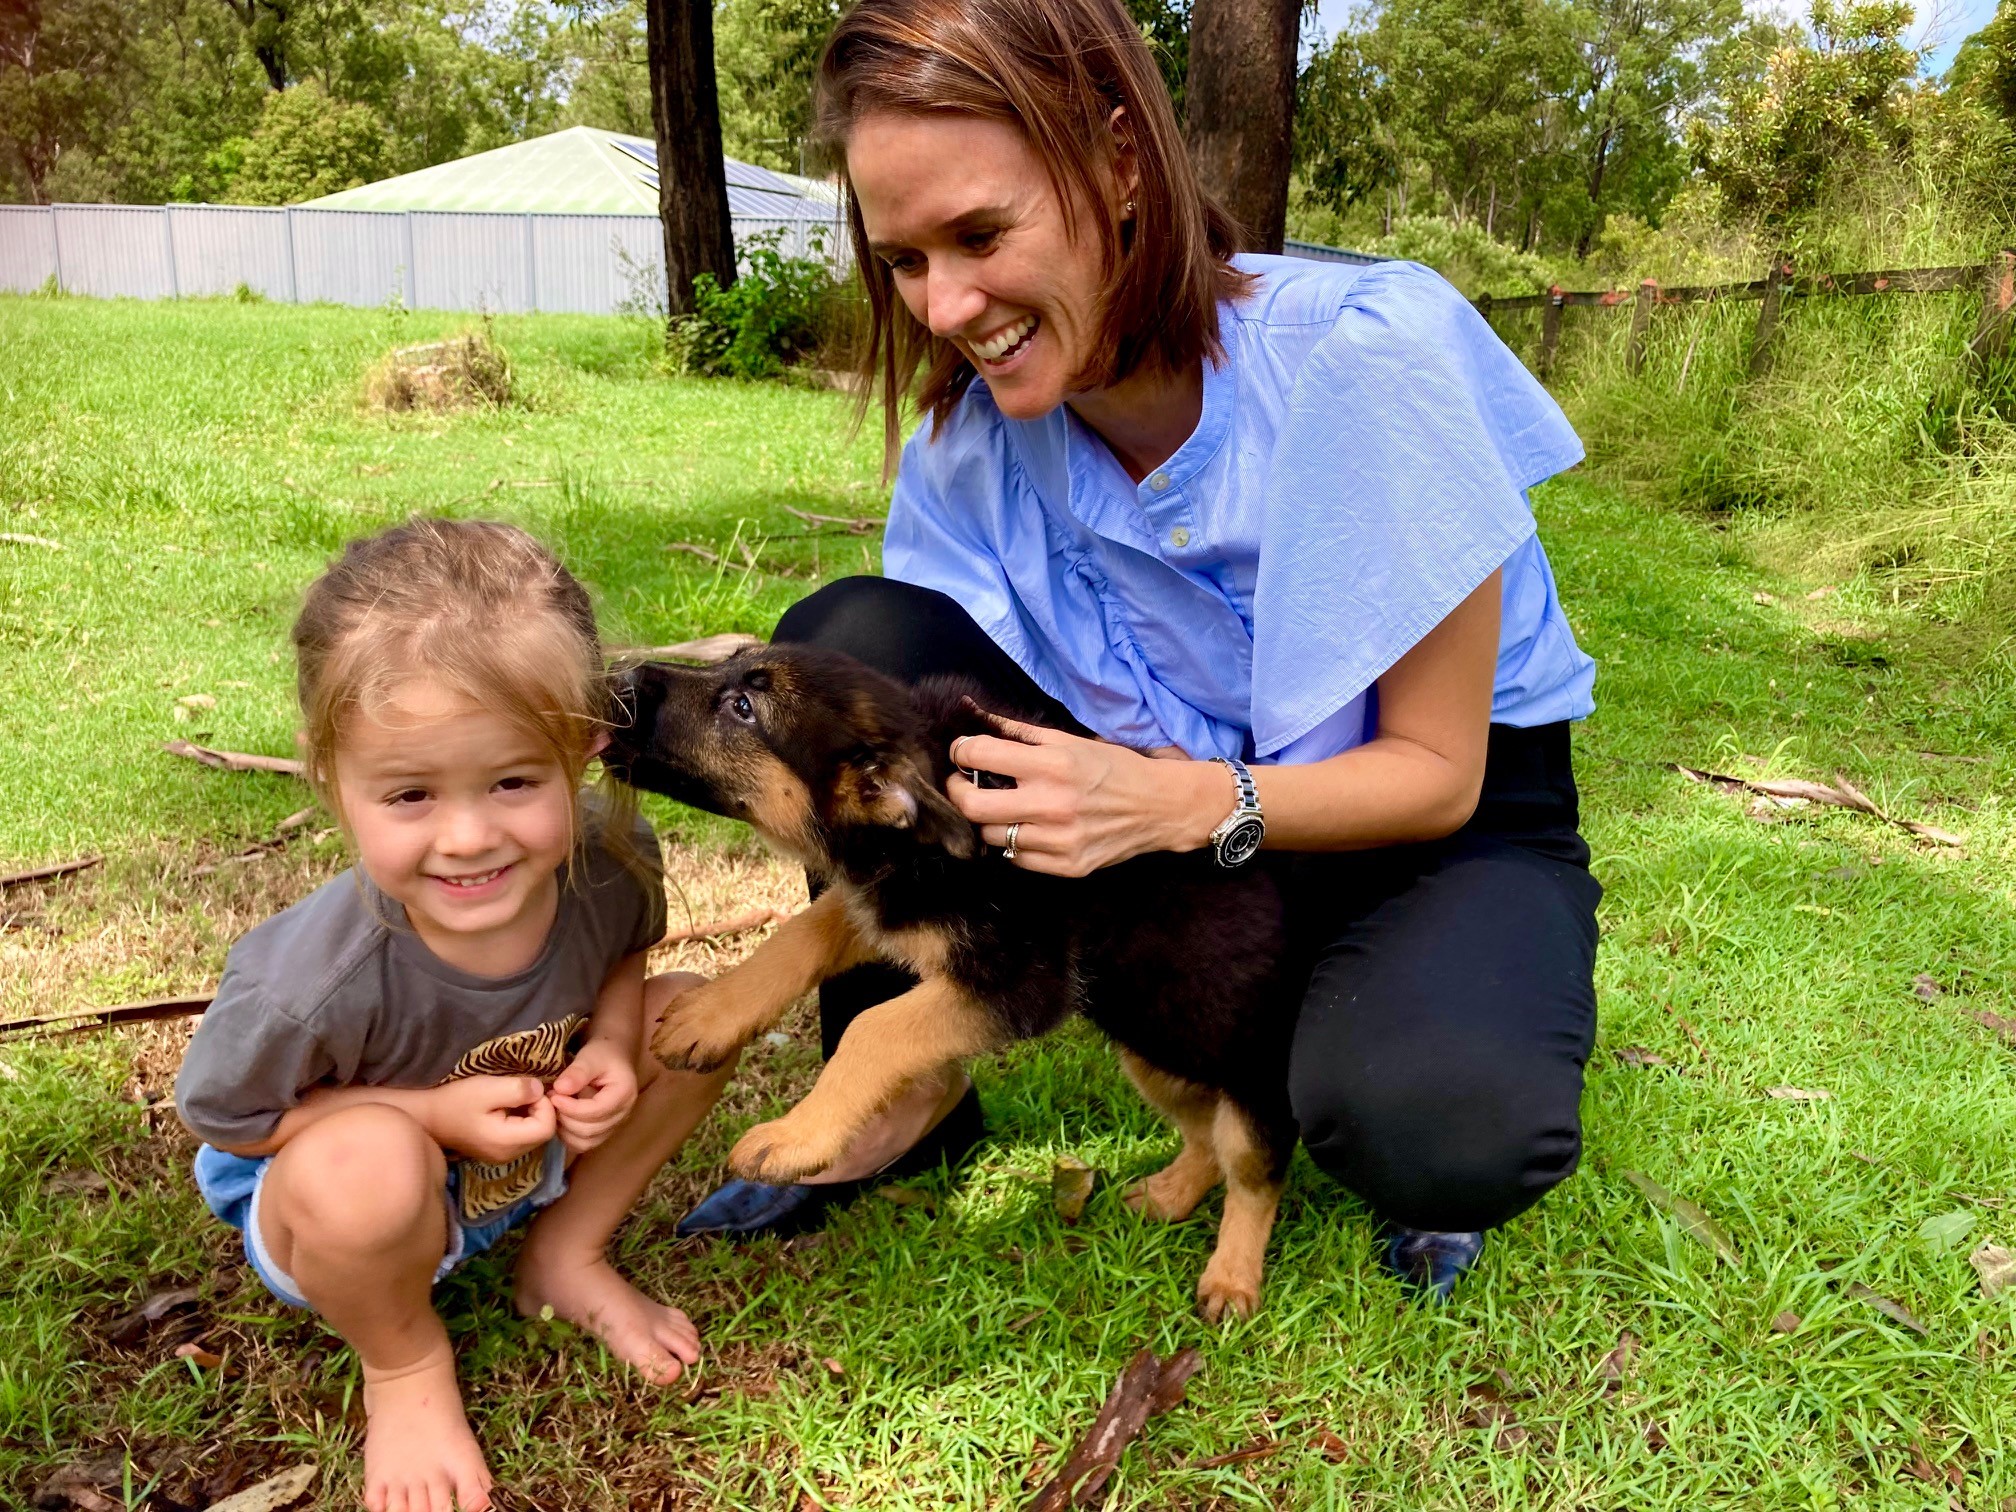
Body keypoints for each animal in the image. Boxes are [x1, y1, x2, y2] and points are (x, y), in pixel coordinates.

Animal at [600, 645, 1290, 1322]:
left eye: (743, 708)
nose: (615, 682)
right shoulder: (889, 906)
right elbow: (803, 934)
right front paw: (709, 1016)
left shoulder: (1020, 983)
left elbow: (873, 1027)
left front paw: (794, 1138)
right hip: (1156, 1051)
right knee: (1203, 1137)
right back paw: (1170, 1195)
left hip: (1249, 1085)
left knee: (1254, 1171)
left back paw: (1231, 1280)